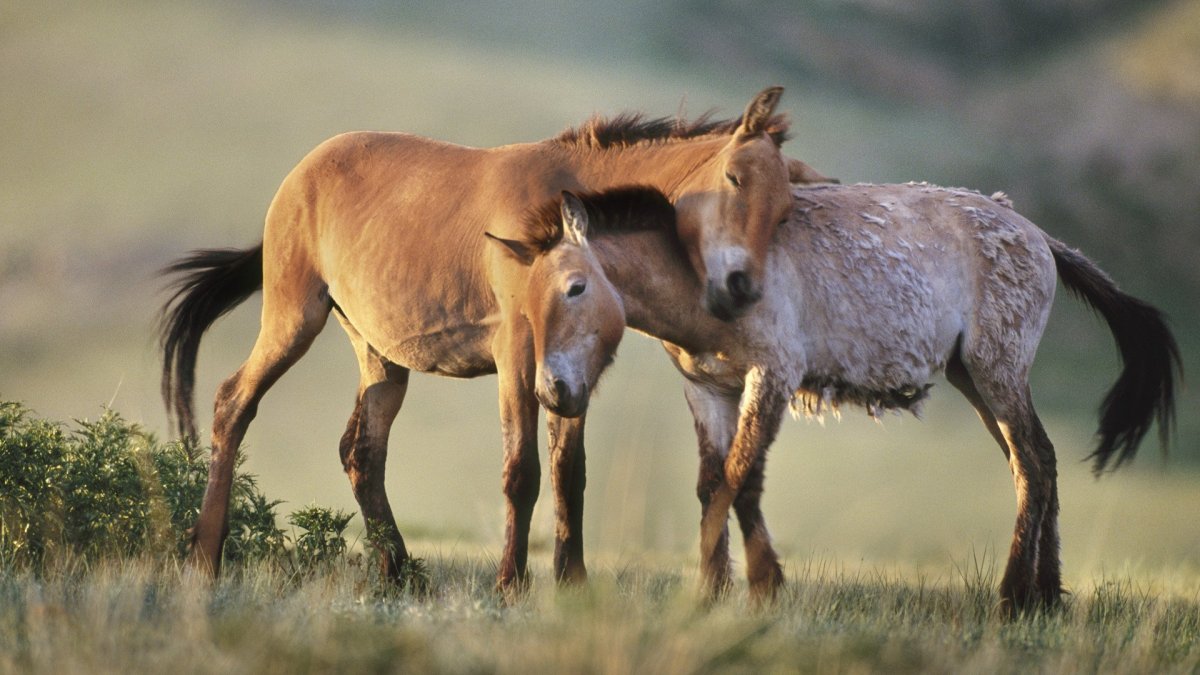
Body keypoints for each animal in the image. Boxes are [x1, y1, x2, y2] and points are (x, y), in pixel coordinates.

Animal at [545, 181, 1179, 614]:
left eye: (575, 287)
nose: (554, 390)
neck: (705, 268)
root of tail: (1037, 235)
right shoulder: (709, 390)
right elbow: (713, 485)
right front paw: (713, 591)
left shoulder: (771, 377)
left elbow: (740, 478)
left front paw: (762, 586)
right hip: (973, 378)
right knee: (1040, 461)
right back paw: (1045, 596)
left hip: (997, 372)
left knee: (1029, 462)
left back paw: (1012, 596)